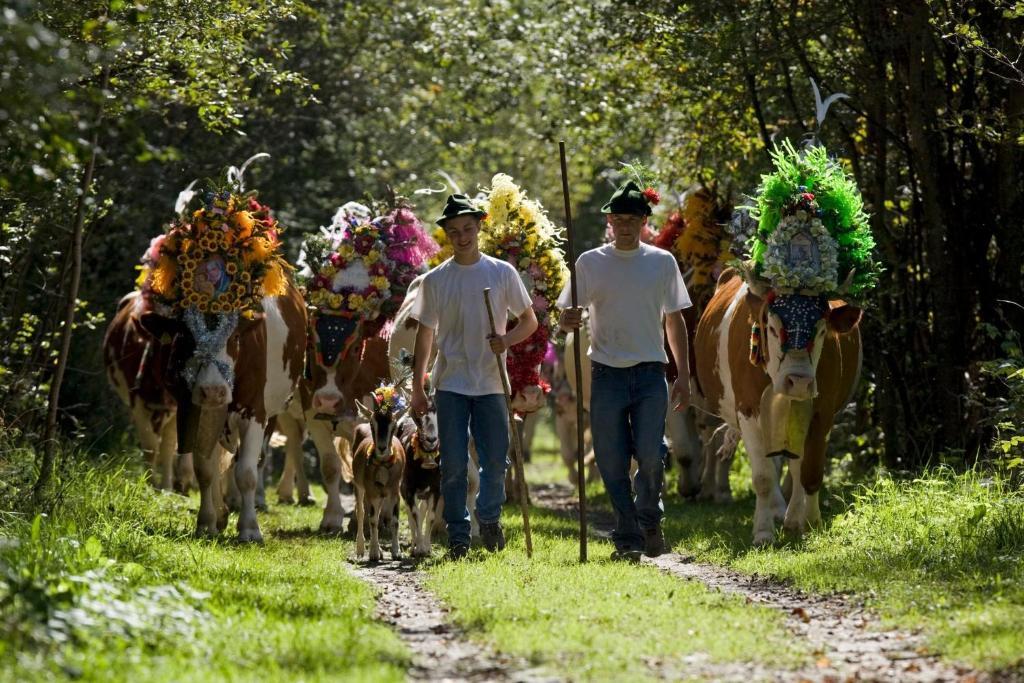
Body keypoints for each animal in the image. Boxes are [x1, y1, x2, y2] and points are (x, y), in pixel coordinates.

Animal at [104, 290, 196, 493]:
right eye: (173, 345)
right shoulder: (137, 403)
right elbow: (150, 446)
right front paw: (149, 482)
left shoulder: (176, 409)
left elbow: (168, 445)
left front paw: (167, 487)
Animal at [142, 280, 305, 540]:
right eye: (186, 336)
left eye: (235, 336)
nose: (213, 391)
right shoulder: (193, 411)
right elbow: (205, 471)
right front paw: (207, 522)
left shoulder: (255, 411)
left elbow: (246, 473)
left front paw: (249, 528)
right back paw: (220, 513)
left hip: (274, 412)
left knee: (254, 460)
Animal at [700, 270, 860, 540]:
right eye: (773, 329)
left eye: (821, 331)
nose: (799, 382)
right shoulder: (747, 410)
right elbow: (763, 476)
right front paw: (763, 532)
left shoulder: (823, 412)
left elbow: (810, 472)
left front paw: (811, 522)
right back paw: (776, 511)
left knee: (795, 468)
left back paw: (792, 518)